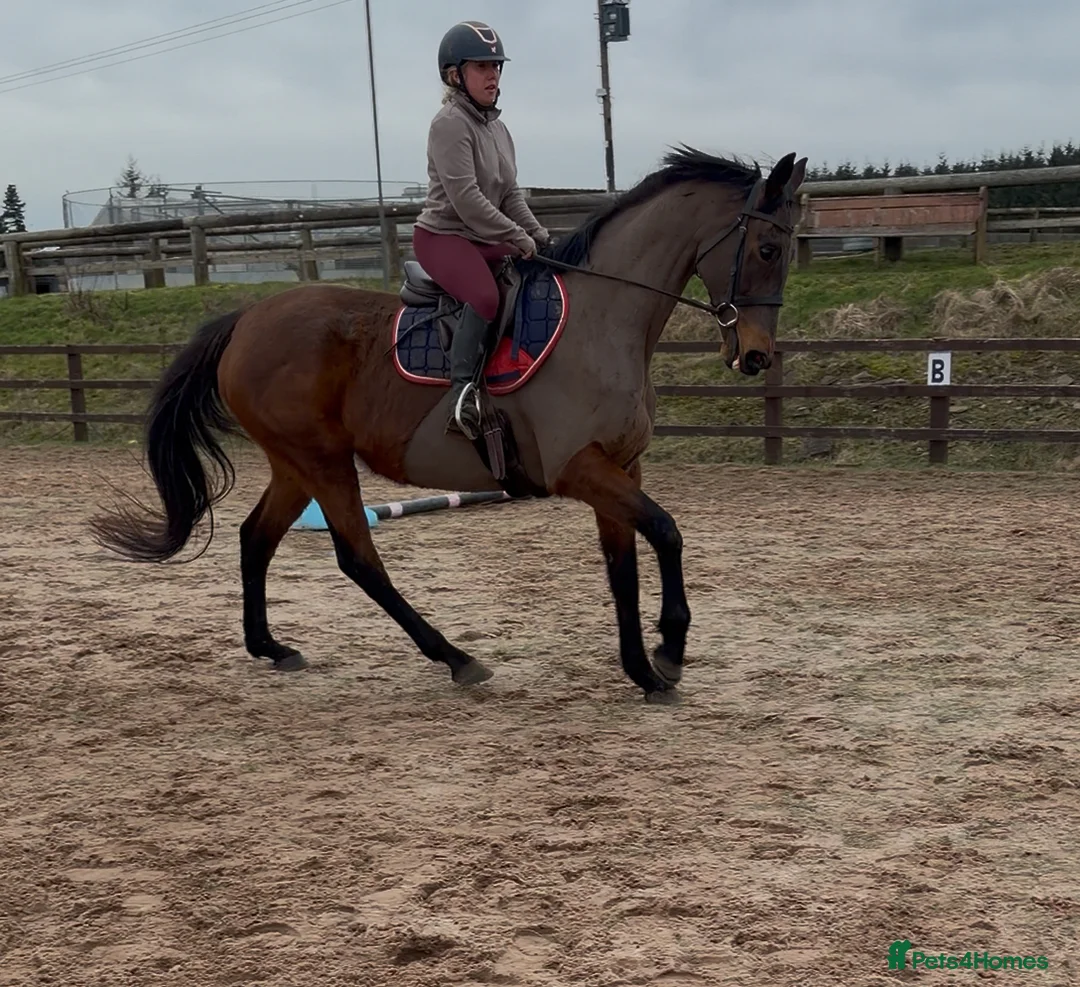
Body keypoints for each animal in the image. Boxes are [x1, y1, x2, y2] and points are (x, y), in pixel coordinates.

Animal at [89, 145, 808, 703]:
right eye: (768, 246)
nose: (756, 355)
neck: (603, 321)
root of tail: (245, 319)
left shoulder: (621, 467)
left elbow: (624, 565)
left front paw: (643, 669)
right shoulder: (580, 469)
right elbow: (666, 532)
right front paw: (670, 651)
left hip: (296, 463)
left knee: (255, 538)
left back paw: (270, 646)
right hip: (322, 461)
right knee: (358, 557)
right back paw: (456, 658)